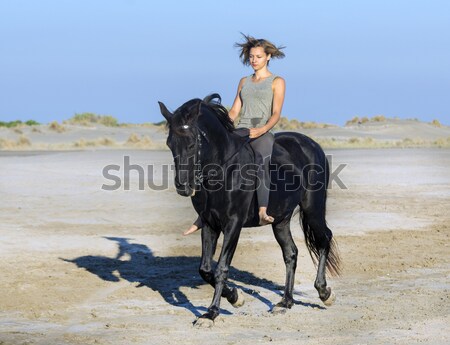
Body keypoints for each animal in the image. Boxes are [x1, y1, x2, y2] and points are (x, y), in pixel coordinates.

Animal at [160, 93, 340, 326]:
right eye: (170, 143)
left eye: (192, 144)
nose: (183, 186)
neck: (224, 170)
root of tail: (311, 144)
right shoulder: (209, 223)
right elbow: (206, 269)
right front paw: (235, 297)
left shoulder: (233, 224)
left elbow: (221, 268)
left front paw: (211, 313)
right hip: (280, 220)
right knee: (291, 253)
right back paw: (285, 302)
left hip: (313, 208)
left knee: (324, 238)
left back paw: (324, 292)